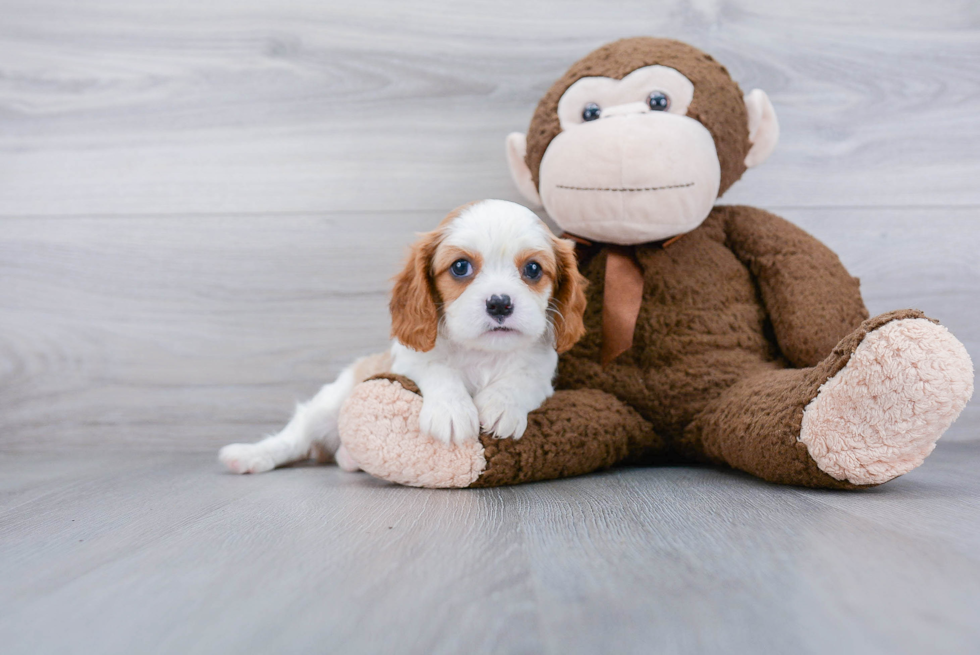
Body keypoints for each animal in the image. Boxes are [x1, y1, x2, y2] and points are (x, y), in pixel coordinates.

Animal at [218, 197, 584, 474]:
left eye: (533, 269)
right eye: (460, 267)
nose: (499, 303)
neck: (481, 352)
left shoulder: (541, 372)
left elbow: (521, 378)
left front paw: (500, 404)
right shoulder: (408, 360)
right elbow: (438, 369)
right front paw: (452, 410)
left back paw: (348, 458)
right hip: (328, 404)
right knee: (296, 438)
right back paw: (249, 456)